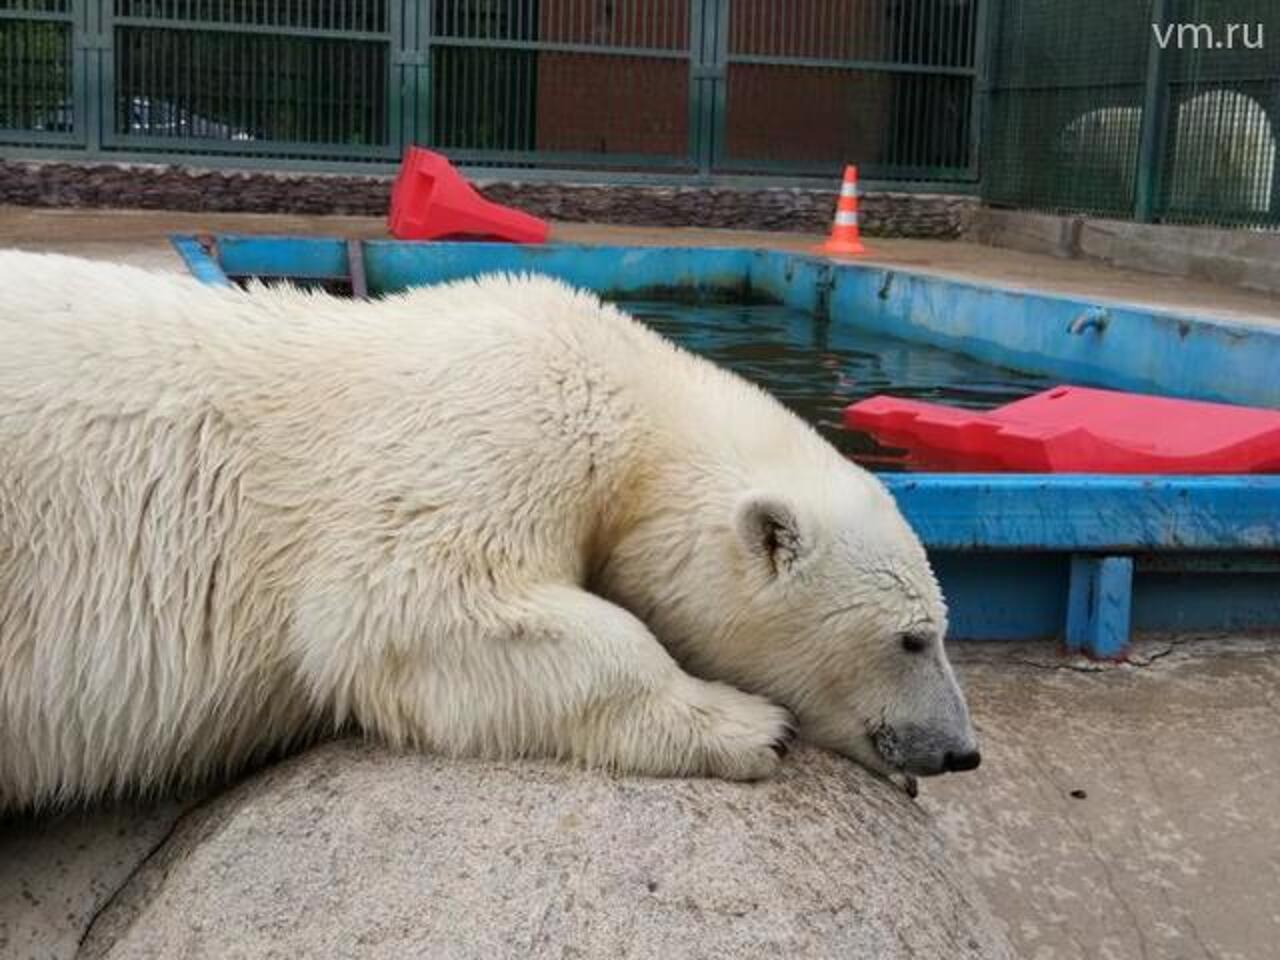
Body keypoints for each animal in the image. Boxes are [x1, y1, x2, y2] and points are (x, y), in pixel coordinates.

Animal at [0, 249, 977, 814]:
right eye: (911, 637)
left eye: (939, 630)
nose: (960, 750)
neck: (632, 405)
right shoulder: (493, 424)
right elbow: (409, 606)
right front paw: (747, 724)